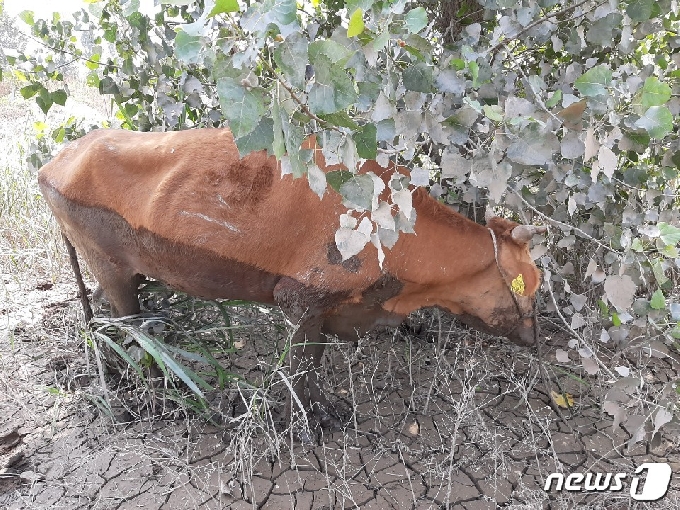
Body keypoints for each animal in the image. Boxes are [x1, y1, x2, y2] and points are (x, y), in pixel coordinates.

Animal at [38, 127, 548, 426]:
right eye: (531, 288)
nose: (535, 338)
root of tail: (55, 160)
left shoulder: (325, 309)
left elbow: (315, 359)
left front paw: (320, 409)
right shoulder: (301, 299)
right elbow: (303, 365)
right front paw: (304, 419)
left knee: (100, 317)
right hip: (110, 265)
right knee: (128, 327)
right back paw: (149, 392)